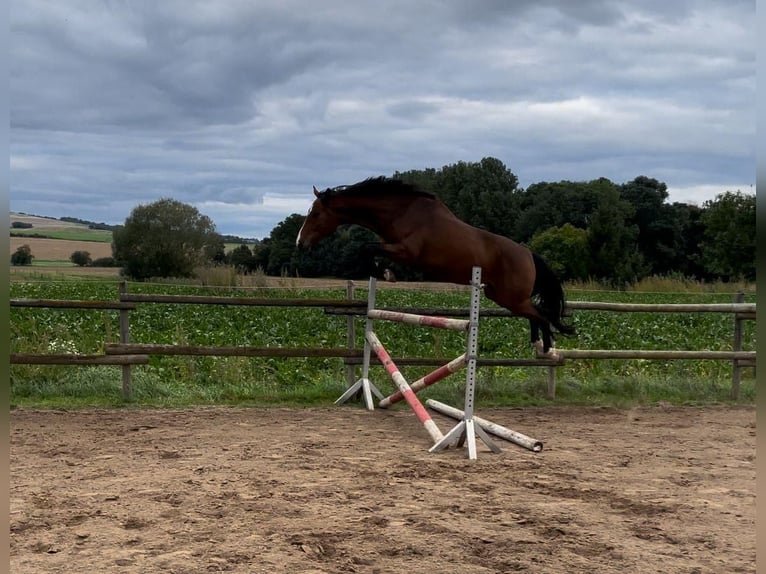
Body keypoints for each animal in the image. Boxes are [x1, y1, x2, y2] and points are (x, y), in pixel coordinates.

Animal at [296, 177, 572, 356]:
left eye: (316, 214)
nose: (300, 242)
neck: (401, 212)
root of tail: (528, 253)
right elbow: (367, 249)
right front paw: (384, 272)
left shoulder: (406, 252)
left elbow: (365, 247)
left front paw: (385, 273)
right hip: (500, 296)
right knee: (537, 313)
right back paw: (539, 344)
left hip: (511, 297)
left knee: (542, 314)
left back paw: (547, 347)